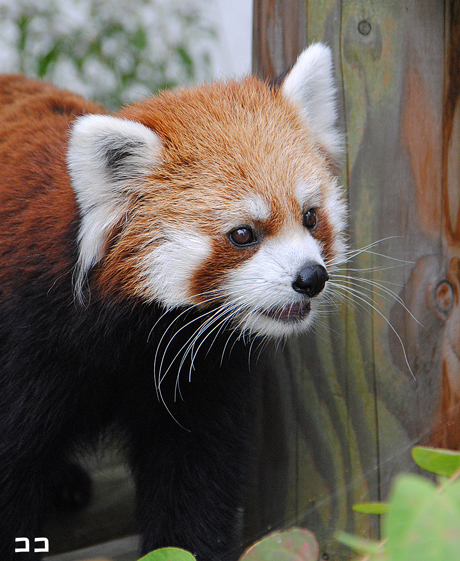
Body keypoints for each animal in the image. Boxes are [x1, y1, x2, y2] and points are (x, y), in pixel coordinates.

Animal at [0, 44, 344, 560]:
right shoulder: (26, 343)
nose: (311, 278)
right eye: (243, 234)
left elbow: (194, 477)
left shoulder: (198, 372)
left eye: (310, 217)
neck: (126, 332)